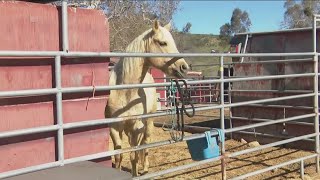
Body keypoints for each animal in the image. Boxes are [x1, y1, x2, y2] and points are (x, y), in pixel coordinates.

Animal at [105, 20, 190, 176]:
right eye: (162, 43)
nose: (184, 67)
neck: (125, 92)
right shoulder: (114, 127)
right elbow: (119, 156)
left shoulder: (136, 126)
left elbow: (133, 155)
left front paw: (136, 173)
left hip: (148, 123)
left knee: (145, 144)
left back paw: (144, 168)